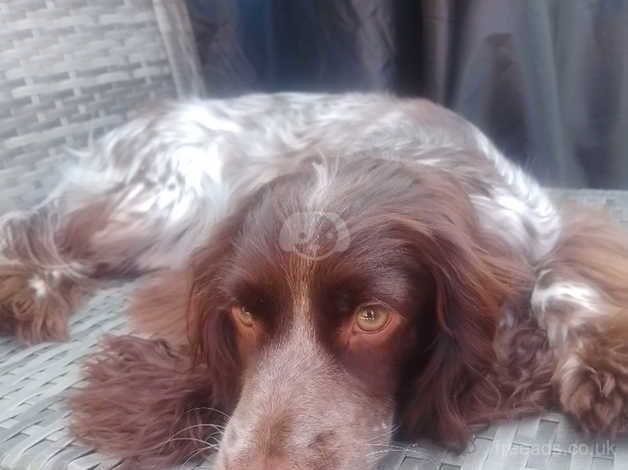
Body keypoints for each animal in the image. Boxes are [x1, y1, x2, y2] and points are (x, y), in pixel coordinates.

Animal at [1, 93, 628, 468]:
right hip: (163, 202)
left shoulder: (548, 224)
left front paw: (602, 366)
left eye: (372, 317)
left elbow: (559, 281)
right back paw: (28, 290)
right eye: (244, 314)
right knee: (47, 224)